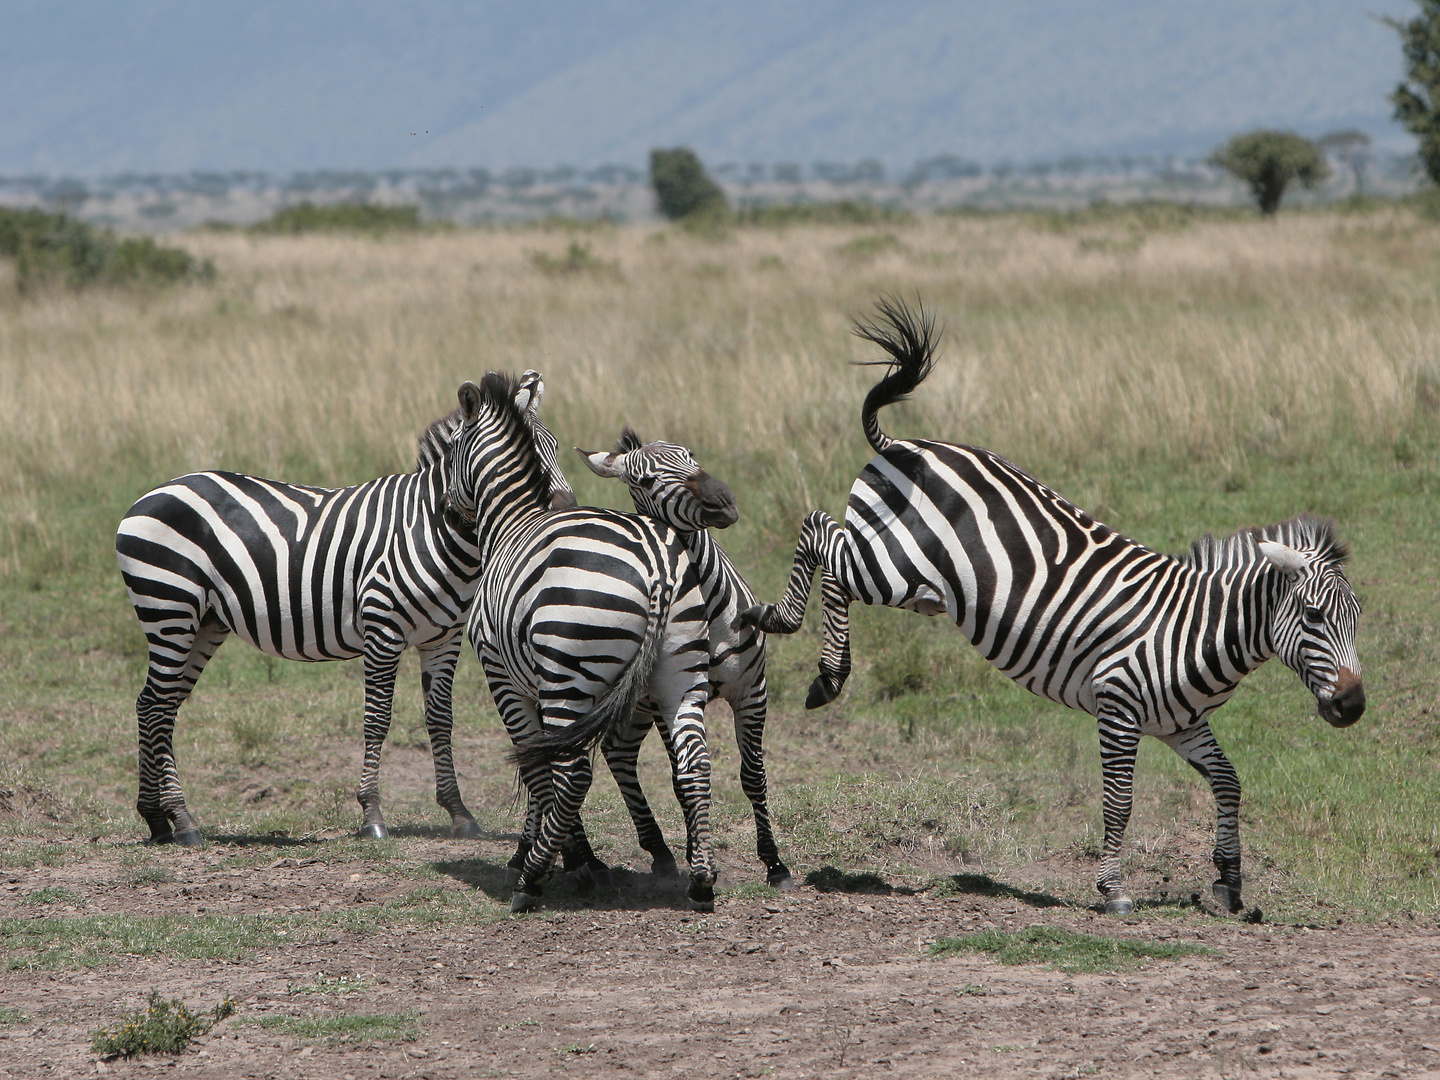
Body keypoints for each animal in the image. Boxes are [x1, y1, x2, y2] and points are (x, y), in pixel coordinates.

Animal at [113, 377, 573, 852]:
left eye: (556, 447)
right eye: (524, 456)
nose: (563, 509)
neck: (435, 531)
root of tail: (153, 493)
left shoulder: (443, 637)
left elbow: (441, 721)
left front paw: (458, 812)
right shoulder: (383, 628)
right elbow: (377, 719)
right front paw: (372, 815)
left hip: (204, 622)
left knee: (155, 703)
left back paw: (157, 817)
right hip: (169, 607)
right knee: (157, 706)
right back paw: (183, 819)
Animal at [446, 377, 717, 915]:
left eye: (450, 450)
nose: (447, 508)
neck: (511, 521)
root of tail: (657, 561)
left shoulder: (503, 675)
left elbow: (535, 765)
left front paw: (550, 857)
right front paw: (575, 856)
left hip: (569, 675)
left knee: (573, 773)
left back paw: (528, 885)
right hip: (680, 671)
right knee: (693, 762)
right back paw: (701, 881)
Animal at [576, 426, 800, 892]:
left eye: (690, 454)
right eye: (644, 481)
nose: (723, 499)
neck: (708, 605)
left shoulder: (752, 691)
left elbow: (753, 777)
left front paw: (775, 864)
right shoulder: (671, 698)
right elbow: (682, 779)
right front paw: (698, 854)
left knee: (618, 751)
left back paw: (658, 850)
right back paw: (615, 856)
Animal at [748, 300, 1365, 915]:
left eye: (1356, 619)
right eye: (1314, 616)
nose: (1353, 707)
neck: (1197, 630)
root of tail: (908, 444)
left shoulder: (1183, 726)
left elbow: (1229, 782)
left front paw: (1230, 882)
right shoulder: (1118, 706)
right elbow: (1120, 800)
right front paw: (1113, 889)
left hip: (915, 585)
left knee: (827, 543)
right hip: (892, 564)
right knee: (819, 533)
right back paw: (813, 658)